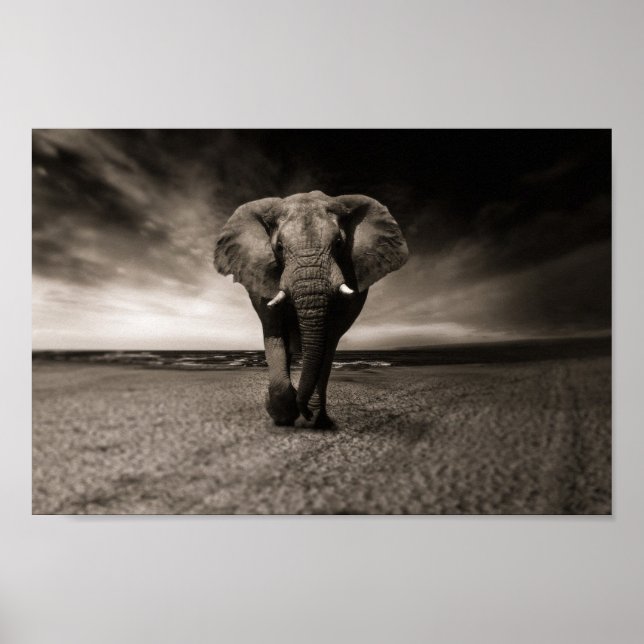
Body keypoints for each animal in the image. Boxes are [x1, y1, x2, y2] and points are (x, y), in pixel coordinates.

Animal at [213, 190, 408, 428]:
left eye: (339, 243)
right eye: (279, 247)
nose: (304, 412)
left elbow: (329, 339)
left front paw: (312, 417)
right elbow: (274, 331)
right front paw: (282, 414)